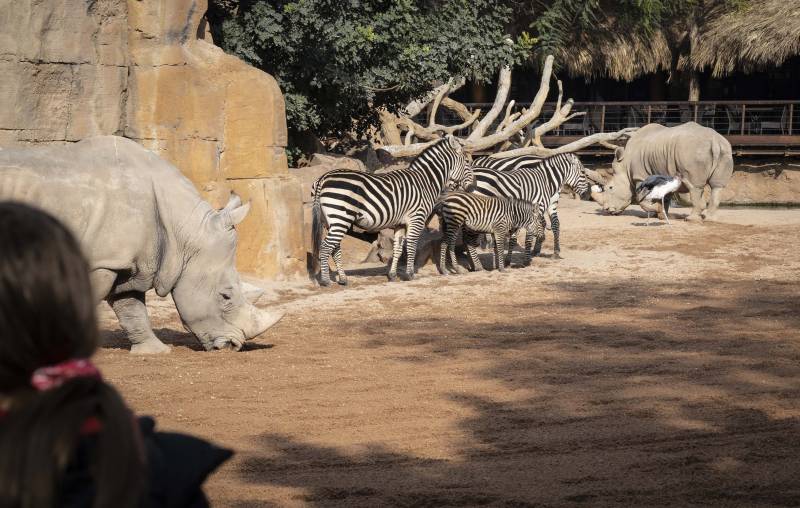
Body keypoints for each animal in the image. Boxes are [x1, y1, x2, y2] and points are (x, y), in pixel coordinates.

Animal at [0, 137, 282, 356]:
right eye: (225, 296)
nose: (233, 346)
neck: (184, 231)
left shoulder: (128, 261)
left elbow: (130, 306)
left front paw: (155, 351)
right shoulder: (103, 260)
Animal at [312, 135, 476, 286]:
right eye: (467, 162)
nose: (474, 186)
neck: (425, 181)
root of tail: (323, 178)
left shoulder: (400, 224)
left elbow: (398, 248)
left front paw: (392, 275)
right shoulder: (416, 218)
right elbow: (411, 245)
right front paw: (410, 274)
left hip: (330, 221)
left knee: (335, 248)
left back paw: (343, 279)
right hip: (340, 217)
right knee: (326, 247)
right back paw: (326, 281)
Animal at [588, 122, 732, 220]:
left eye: (611, 188)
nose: (608, 210)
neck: (625, 165)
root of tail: (715, 141)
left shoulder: (641, 176)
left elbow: (642, 199)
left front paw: (656, 210)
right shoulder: (664, 175)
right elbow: (666, 196)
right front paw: (661, 215)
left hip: (692, 152)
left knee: (694, 186)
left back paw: (691, 219)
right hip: (724, 149)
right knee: (717, 186)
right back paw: (710, 219)